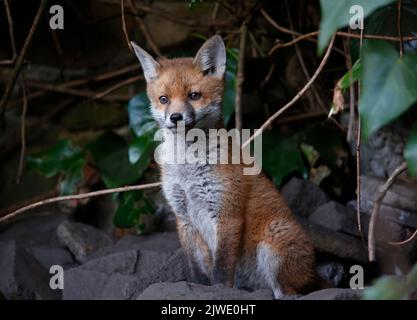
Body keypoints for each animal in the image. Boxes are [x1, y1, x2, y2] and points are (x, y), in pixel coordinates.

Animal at [132, 36, 316, 298]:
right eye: (163, 99)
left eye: (194, 95)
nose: (175, 117)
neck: (187, 169)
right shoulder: (183, 217)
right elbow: (196, 269)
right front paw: (194, 289)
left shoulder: (227, 213)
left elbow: (221, 270)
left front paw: (218, 292)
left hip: (272, 249)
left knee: (288, 293)